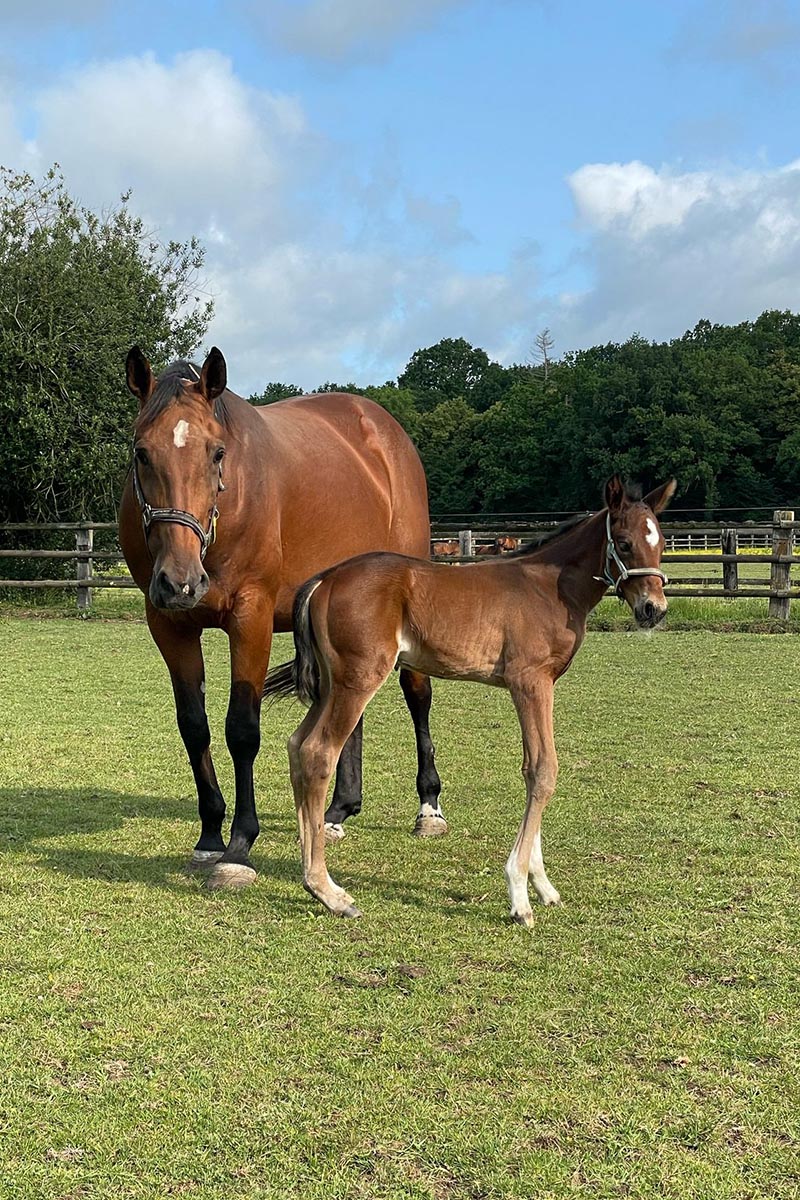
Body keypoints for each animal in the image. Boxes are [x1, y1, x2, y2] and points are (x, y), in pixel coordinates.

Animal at [118, 347, 446, 891]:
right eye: (142, 452)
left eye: (217, 453)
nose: (181, 582)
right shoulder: (169, 625)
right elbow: (194, 727)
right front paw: (210, 836)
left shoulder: (249, 619)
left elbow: (241, 730)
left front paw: (238, 847)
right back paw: (337, 811)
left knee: (417, 693)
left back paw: (429, 808)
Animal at [264, 475, 676, 923]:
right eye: (624, 542)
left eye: (660, 542)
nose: (653, 609)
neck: (550, 588)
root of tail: (325, 579)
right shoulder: (530, 682)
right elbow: (542, 770)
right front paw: (519, 894)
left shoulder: (541, 685)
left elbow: (535, 770)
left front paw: (542, 885)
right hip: (357, 679)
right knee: (319, 752)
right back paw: (327, 890)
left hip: (331, 683)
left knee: (297, 746)